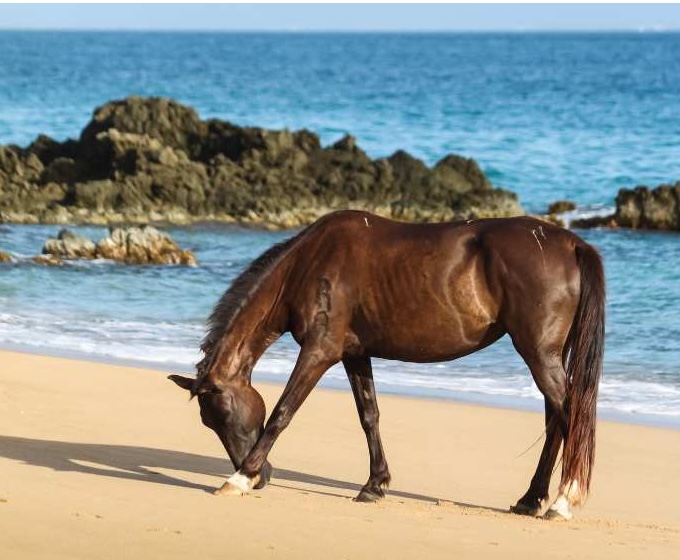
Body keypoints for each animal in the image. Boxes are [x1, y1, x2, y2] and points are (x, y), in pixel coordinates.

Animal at [169, 210, 605, 520]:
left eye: (223, 414)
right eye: (210, 422)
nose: (263, 478)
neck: (309, 263)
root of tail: (572, 244)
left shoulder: (319, 351)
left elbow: (282, 413)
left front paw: (238, 479)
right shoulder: (354, 353)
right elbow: (370, 416)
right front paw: (375, 484)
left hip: (538, 353)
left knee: (570, 415)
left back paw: (561, 502)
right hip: (547, 356)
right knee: (556, 420)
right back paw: (531, 500)